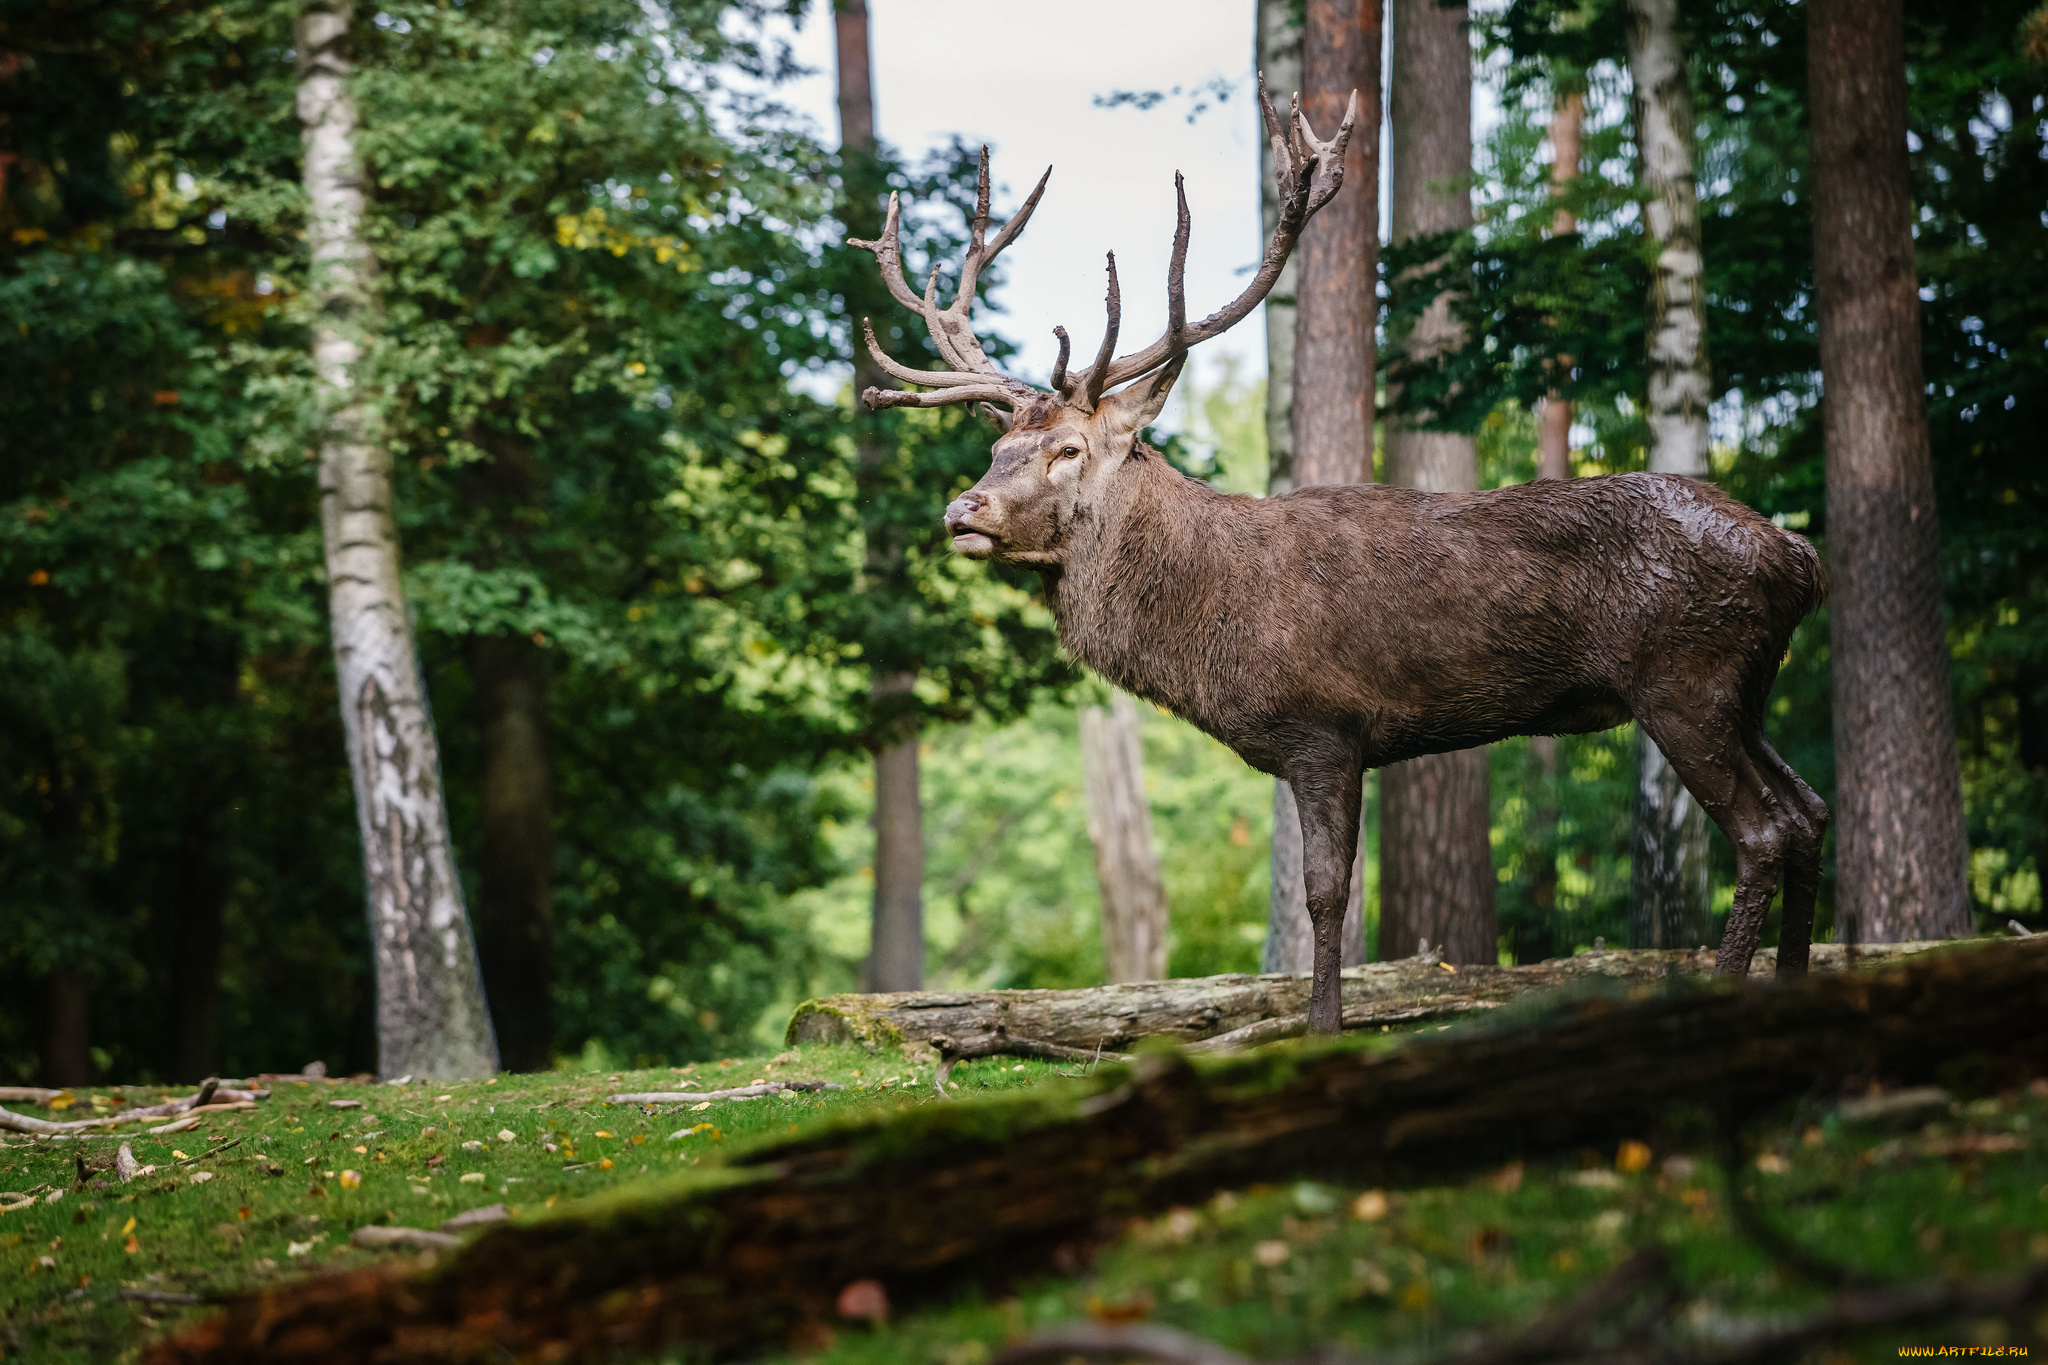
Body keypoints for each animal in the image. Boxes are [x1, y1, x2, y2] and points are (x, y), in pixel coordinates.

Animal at [847, 80, 1826, 1035]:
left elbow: (1327, 896)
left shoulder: (1326, 727)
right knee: (1809, 810)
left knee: (1763, 830)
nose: (962, 510)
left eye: (1068, 450)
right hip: (1743, 688)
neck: (1211, 626)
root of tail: (1797, 554)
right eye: (998, 446)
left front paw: (1323, 1027)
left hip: (1683, 677)